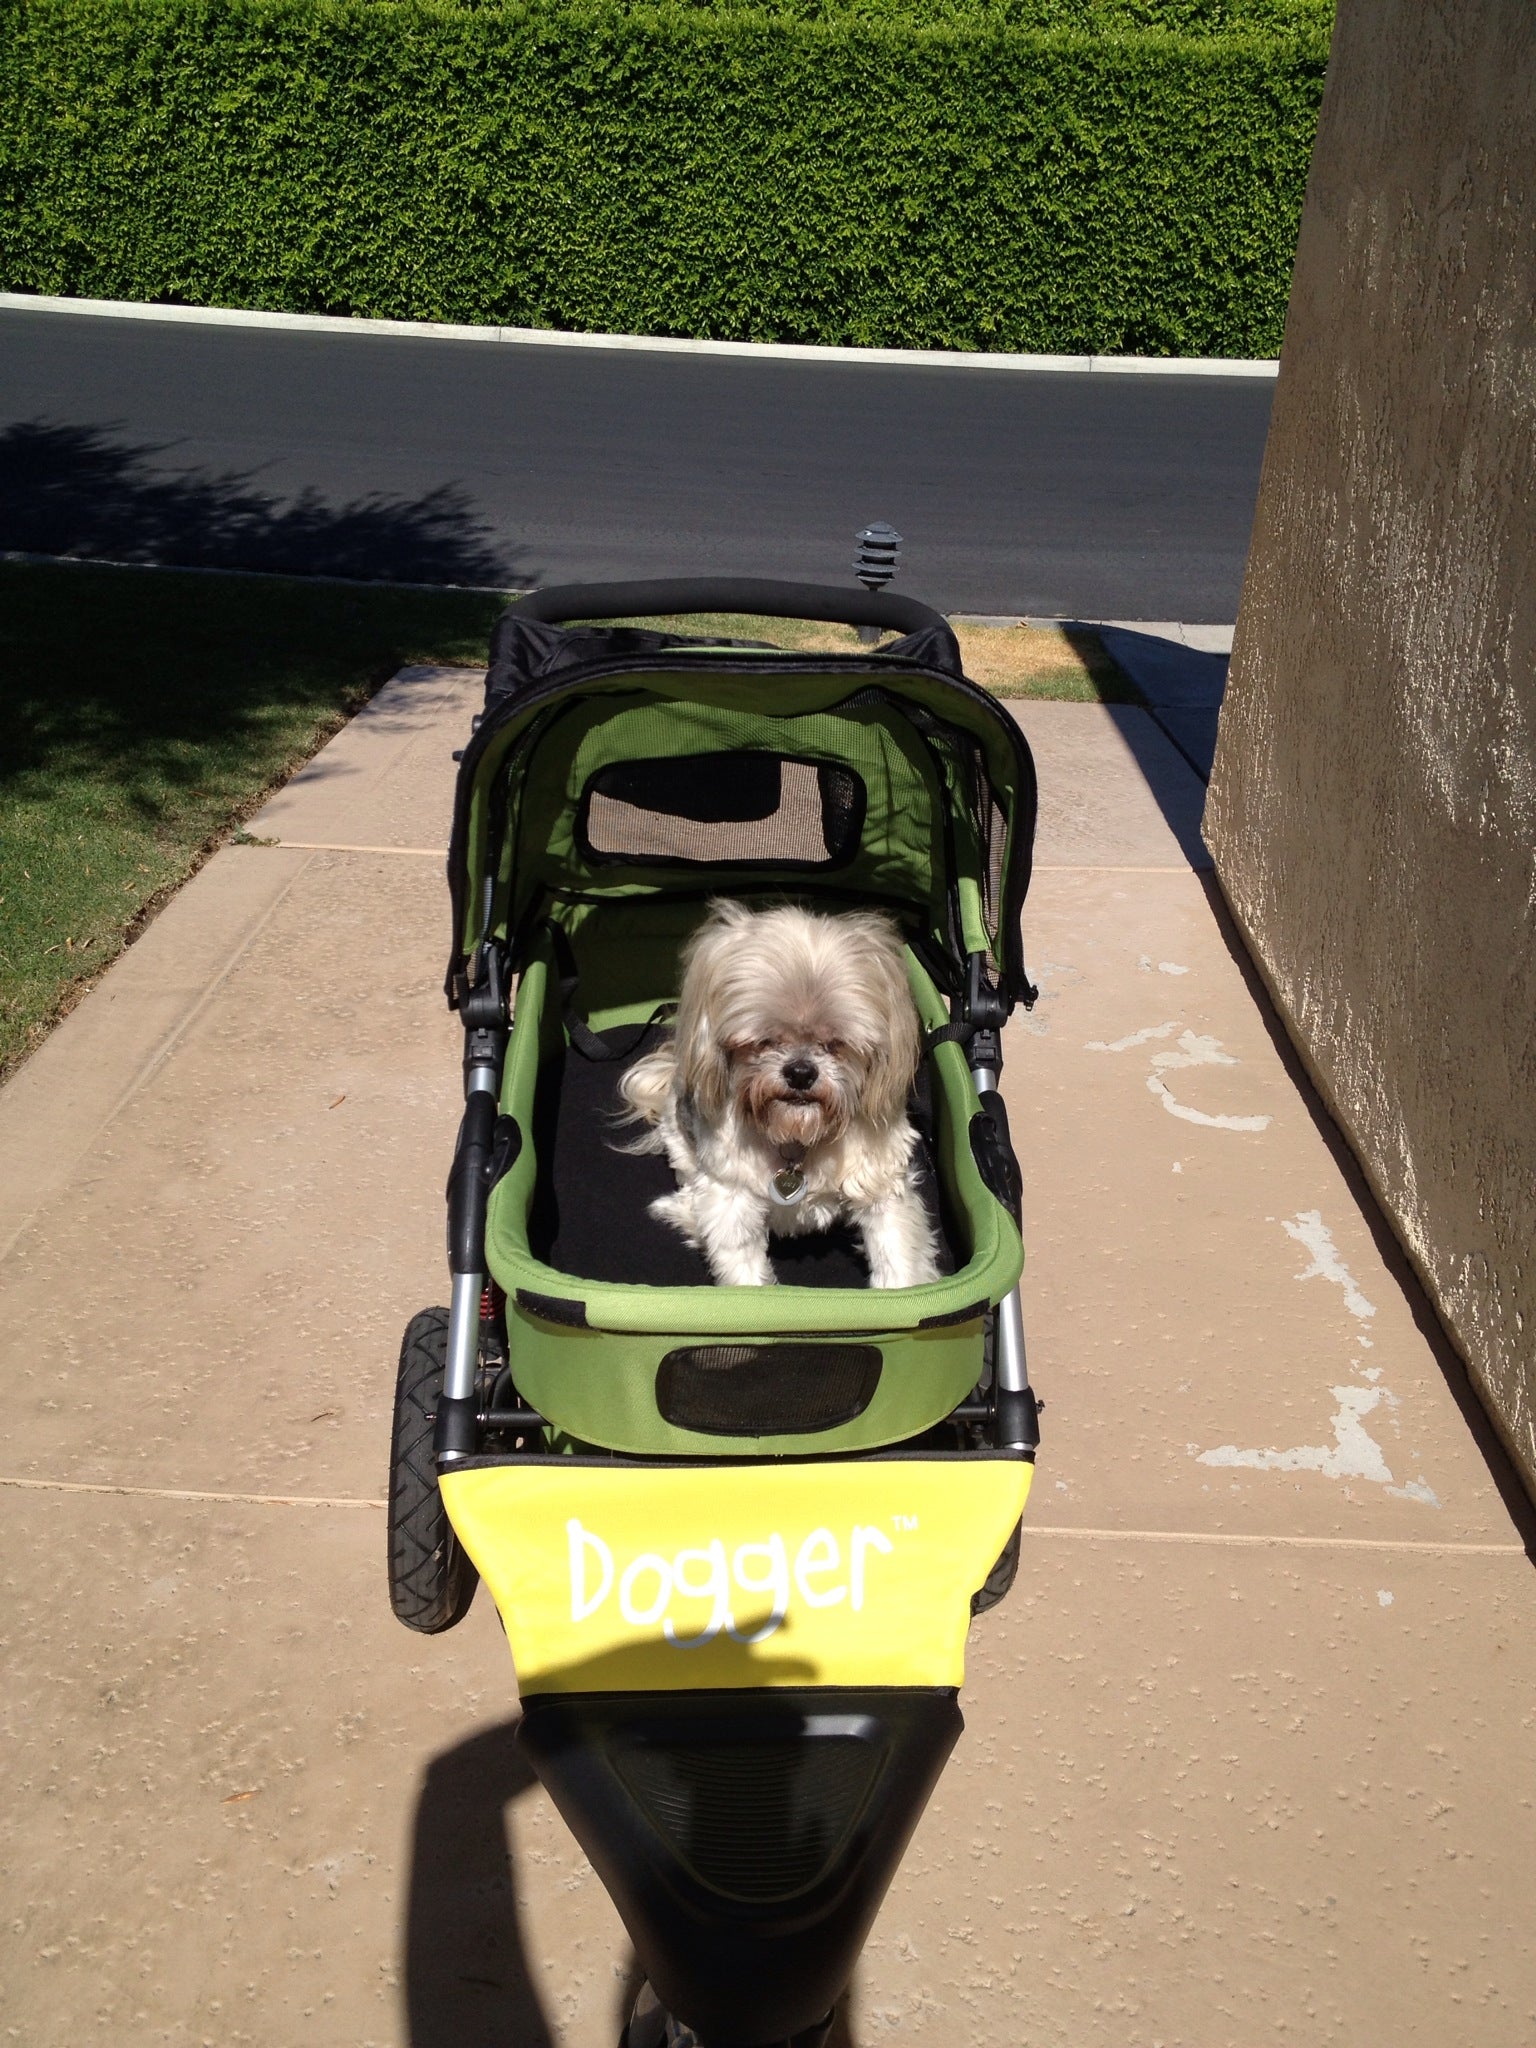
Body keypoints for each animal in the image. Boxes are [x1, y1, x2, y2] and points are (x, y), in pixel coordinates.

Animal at [618, 905, 946, 1286]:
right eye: (763, 1041)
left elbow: (900, 1266)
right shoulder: (732, 1200)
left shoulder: (881, 1183)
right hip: (681, 1144)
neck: (796, 1136)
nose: (801, 1072)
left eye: (836, 1043)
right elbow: (743, 1272)